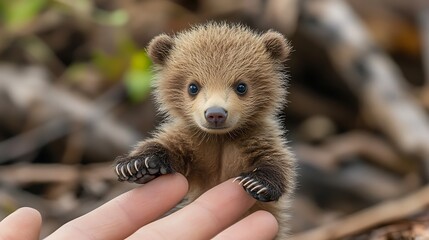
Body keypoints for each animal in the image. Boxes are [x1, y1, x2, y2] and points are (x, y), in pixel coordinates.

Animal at [113, 22, 294, 238]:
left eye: (241, 86)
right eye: (193, 87)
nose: (215, 114)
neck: (221, 138)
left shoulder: (256, 137)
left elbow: (275, 160)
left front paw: (258, 184)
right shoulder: (196, 144)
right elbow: (169, 147)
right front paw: (137, 165)